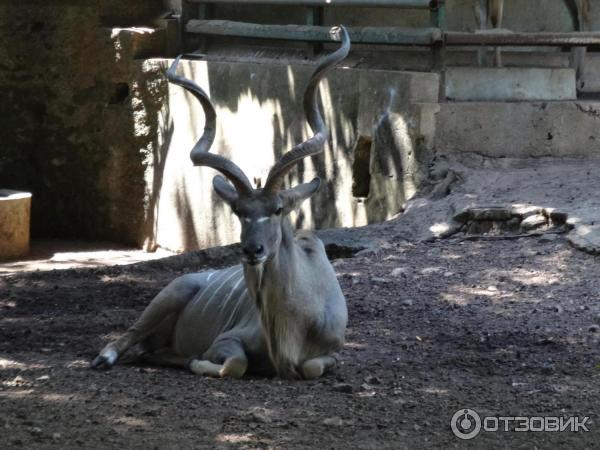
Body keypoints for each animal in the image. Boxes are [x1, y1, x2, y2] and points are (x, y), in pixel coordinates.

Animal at [92, 27, 352, 380]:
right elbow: (235, 365)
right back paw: (107, 358)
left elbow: (311, 367)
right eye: (238, 212)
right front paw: (199, 362)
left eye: (278, 209)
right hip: (168, 296)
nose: (252, 250)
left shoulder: (332, 353)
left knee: (149, 350)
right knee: (129, 337)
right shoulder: (227, 340)